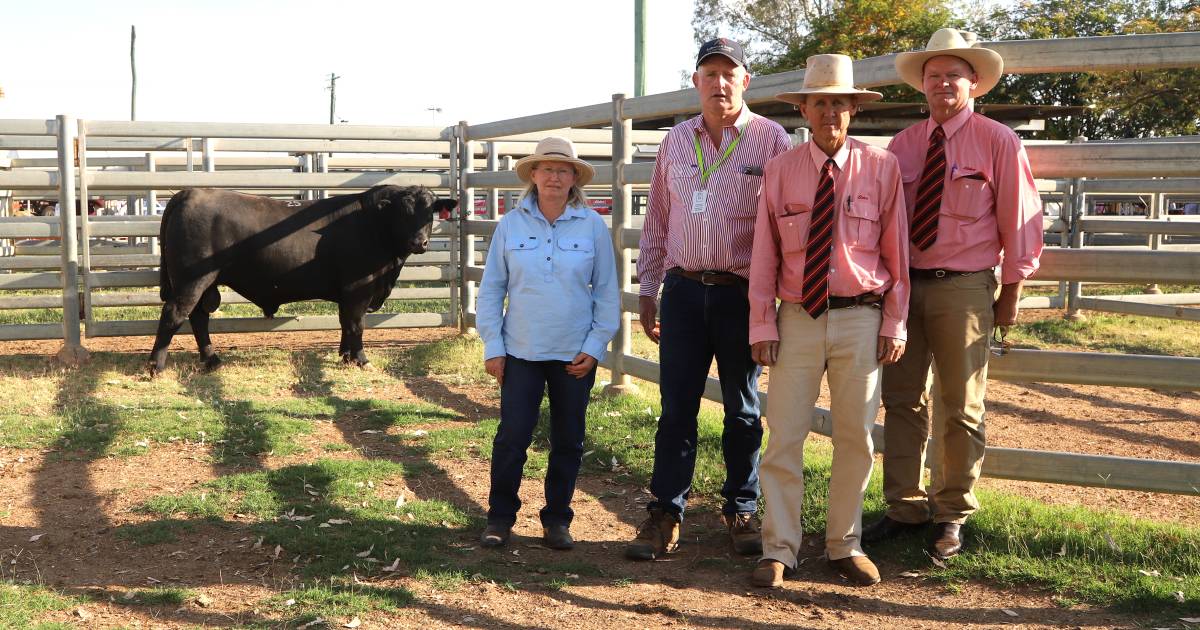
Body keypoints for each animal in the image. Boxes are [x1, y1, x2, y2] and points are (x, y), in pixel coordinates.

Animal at [146, 184, 453, 376]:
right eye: (403, 212)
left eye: (429, 211)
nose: (419, 242)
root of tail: (189, 193)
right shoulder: (358, 287)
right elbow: (356, 323)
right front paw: (361, 359)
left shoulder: (348, 292)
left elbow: (345, 323)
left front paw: (345, 356)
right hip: (191, 281)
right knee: (174, 314)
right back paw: (155, 366)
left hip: (204, 282)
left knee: (199, 317)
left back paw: (211, 360)